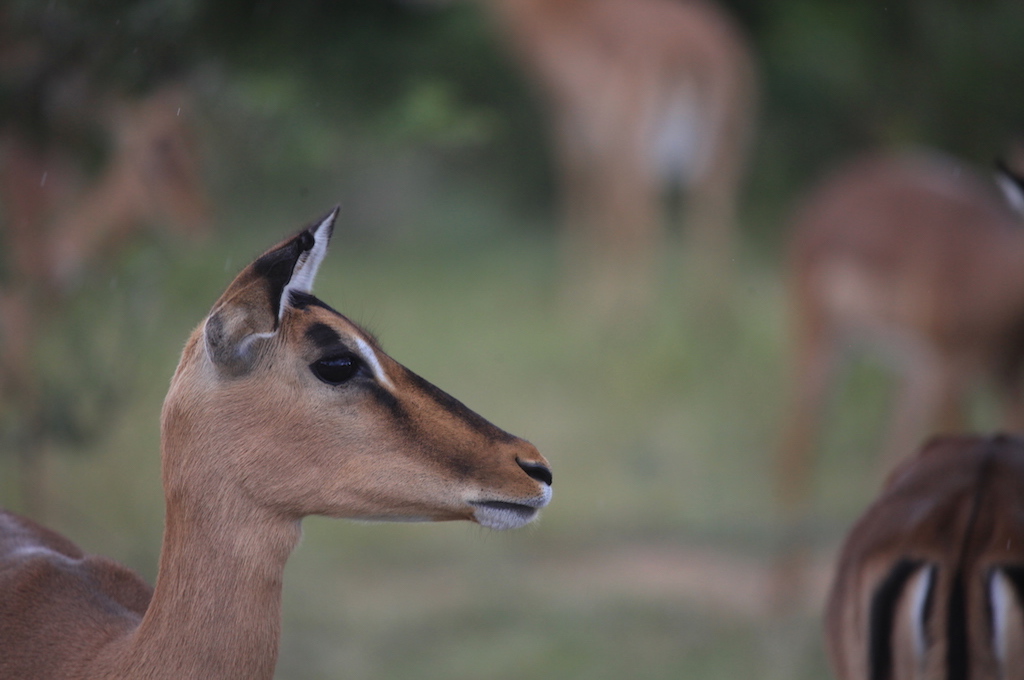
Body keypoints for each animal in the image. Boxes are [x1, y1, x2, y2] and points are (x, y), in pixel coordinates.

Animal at [483, 0, 757, 305]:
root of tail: (693, 52)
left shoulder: (580, 134)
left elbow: (588, 205)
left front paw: (576, 301)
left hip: (636, 142)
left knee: (643, 215)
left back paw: (626, 311)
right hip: (724, 147)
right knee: (712, 212)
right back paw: (709, 310)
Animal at [774, 148, 1024, 510]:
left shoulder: (1009, 382)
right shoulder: (947, 374)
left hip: (908, 373)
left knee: (889, 450)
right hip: (822, 336)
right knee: (797, 441)